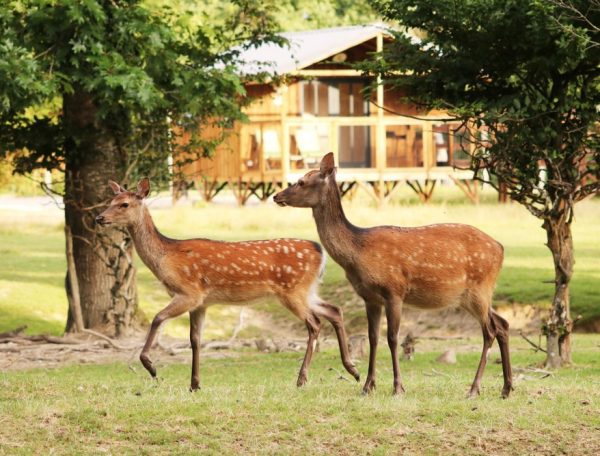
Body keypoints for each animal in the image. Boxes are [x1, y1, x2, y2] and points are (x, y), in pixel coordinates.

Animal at [96, 178, 358, 392]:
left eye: (124, 204)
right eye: (110, 200)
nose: (99, 217)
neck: (166, 257)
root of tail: (319, 251)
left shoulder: (189, 292)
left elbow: (157, 318)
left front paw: (151, 366)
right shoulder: (200, 303)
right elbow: (195, 340)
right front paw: (195, 384)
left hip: (293, 290)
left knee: (314, 323)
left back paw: (302, 379)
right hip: (307, 291)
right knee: (334, 310)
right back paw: (352, 369)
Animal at [274, 152, 512, 396]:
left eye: (302, 181)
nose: (276, 195)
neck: (357, 252)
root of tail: (500, 248)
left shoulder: (394, 290)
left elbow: (392, 338)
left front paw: (398, 387)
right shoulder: (370, 297)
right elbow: (373, 338)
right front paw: (368, 386)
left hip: (479, 288)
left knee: (489, 331)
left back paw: (474, 388)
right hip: (470, 296)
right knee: (502, 324)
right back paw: (506, 388)